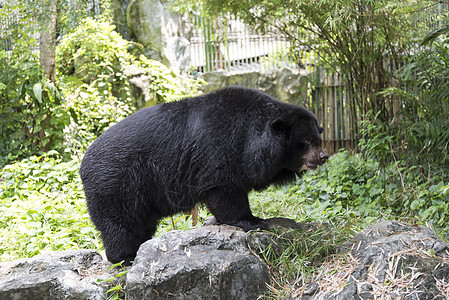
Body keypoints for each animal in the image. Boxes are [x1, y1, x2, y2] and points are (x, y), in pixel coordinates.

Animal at [79, 85, 326, 264]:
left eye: (318, 138)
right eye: (305, 141)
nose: (323, 156)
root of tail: (83, 163)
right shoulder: (220, 150)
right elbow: (225, 190)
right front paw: (254, 221)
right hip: (117, 184)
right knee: (120, 224)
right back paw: (126, 257)